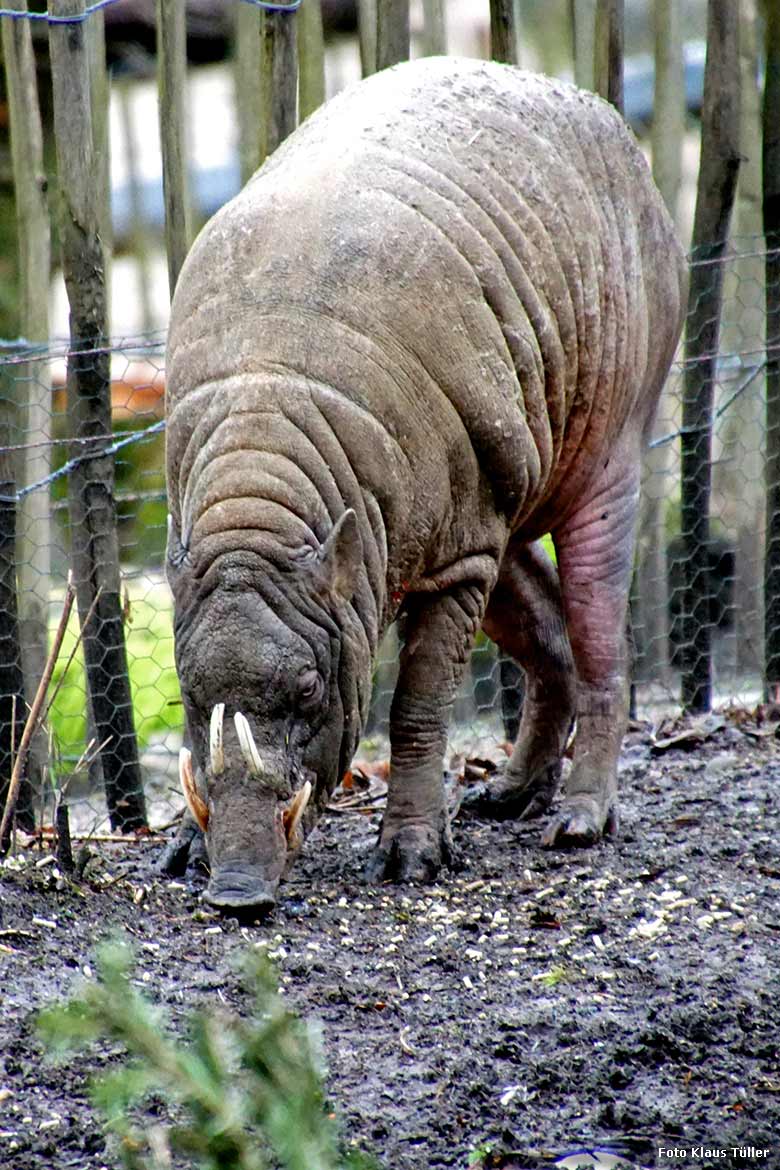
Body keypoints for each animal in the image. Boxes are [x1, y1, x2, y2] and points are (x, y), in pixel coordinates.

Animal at [161, 54, 687, 912]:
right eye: (188, 692)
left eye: (309, 691)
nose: (237, 892)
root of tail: (603, 117)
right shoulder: (455, 533)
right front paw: (181, 843)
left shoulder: (454, 564)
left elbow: (415, 706)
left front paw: (412, 851)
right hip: (496, 487)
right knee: (545, 624)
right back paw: (511, 791)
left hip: (608, 436)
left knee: (602, 633)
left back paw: (582, 814)